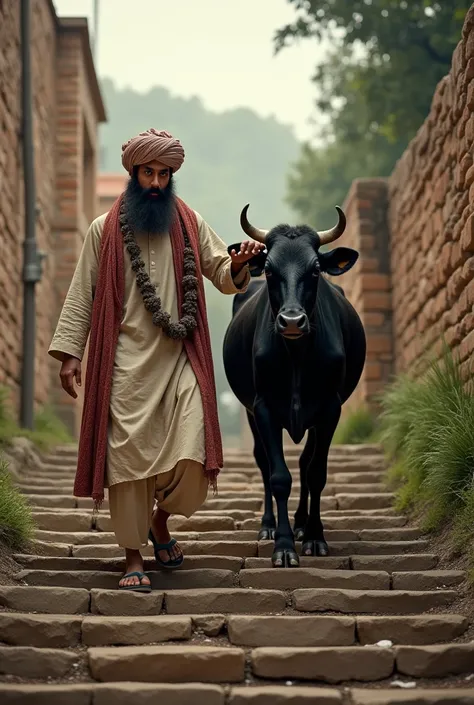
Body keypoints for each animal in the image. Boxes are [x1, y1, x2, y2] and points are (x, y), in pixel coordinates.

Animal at [223, 204, 366, 568]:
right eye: (269, 269)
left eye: (315, 269)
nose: (290, 321)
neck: (297, 356)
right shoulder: (263, 408)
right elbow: (278, 476)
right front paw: (284, 546)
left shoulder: (330, 408)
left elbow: (315, 472)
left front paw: (314, 536)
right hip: (250, 411)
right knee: (263, 462)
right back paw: (269, 526)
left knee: (304, 462)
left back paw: (302, 524)